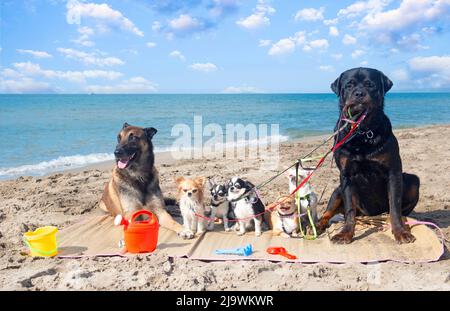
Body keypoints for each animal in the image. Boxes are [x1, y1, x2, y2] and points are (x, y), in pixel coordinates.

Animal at [316, 68, 418, 246]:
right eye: (349, 85)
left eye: (370, 85)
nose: (359, 93)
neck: (362, 132)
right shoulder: (346, 176)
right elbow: (349, 209)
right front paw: (345, 234)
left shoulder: (393, 173)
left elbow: (395, 207)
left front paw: (400, 232)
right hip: (337, 190)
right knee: (328, 212)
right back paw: (316, 225)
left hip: (413, 181)